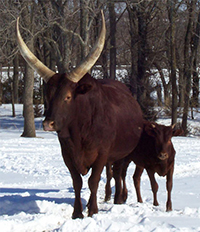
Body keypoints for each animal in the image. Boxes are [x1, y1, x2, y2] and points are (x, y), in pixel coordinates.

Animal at [16, 10, 144, 218]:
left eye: (68, 96)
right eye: (48, 95)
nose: (48, 124)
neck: (80, 131)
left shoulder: (101, 154)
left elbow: (93, 181)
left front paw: (92, 211)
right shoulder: (67, 154)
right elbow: (77, 182)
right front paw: (77, 212)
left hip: (122, 153)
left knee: (118, 173)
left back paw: (118, 198)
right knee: (111, 174)